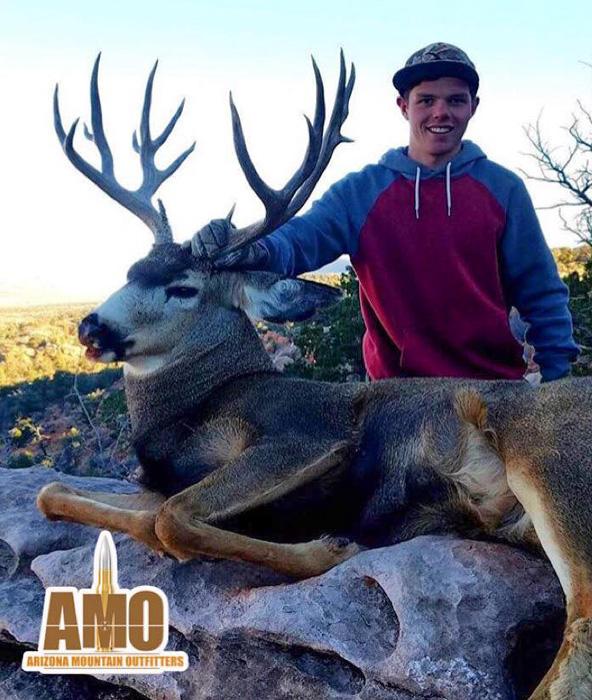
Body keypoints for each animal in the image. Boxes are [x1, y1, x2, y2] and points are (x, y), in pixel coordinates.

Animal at [37, 53, 592, 699]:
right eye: (130, 268)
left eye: (184, 288)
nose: (90, 327)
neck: (192, 409)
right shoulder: (153, 478)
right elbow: (60, 495)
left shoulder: (304, 432)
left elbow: (169, 518)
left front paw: (328, 547)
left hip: (548, 455)